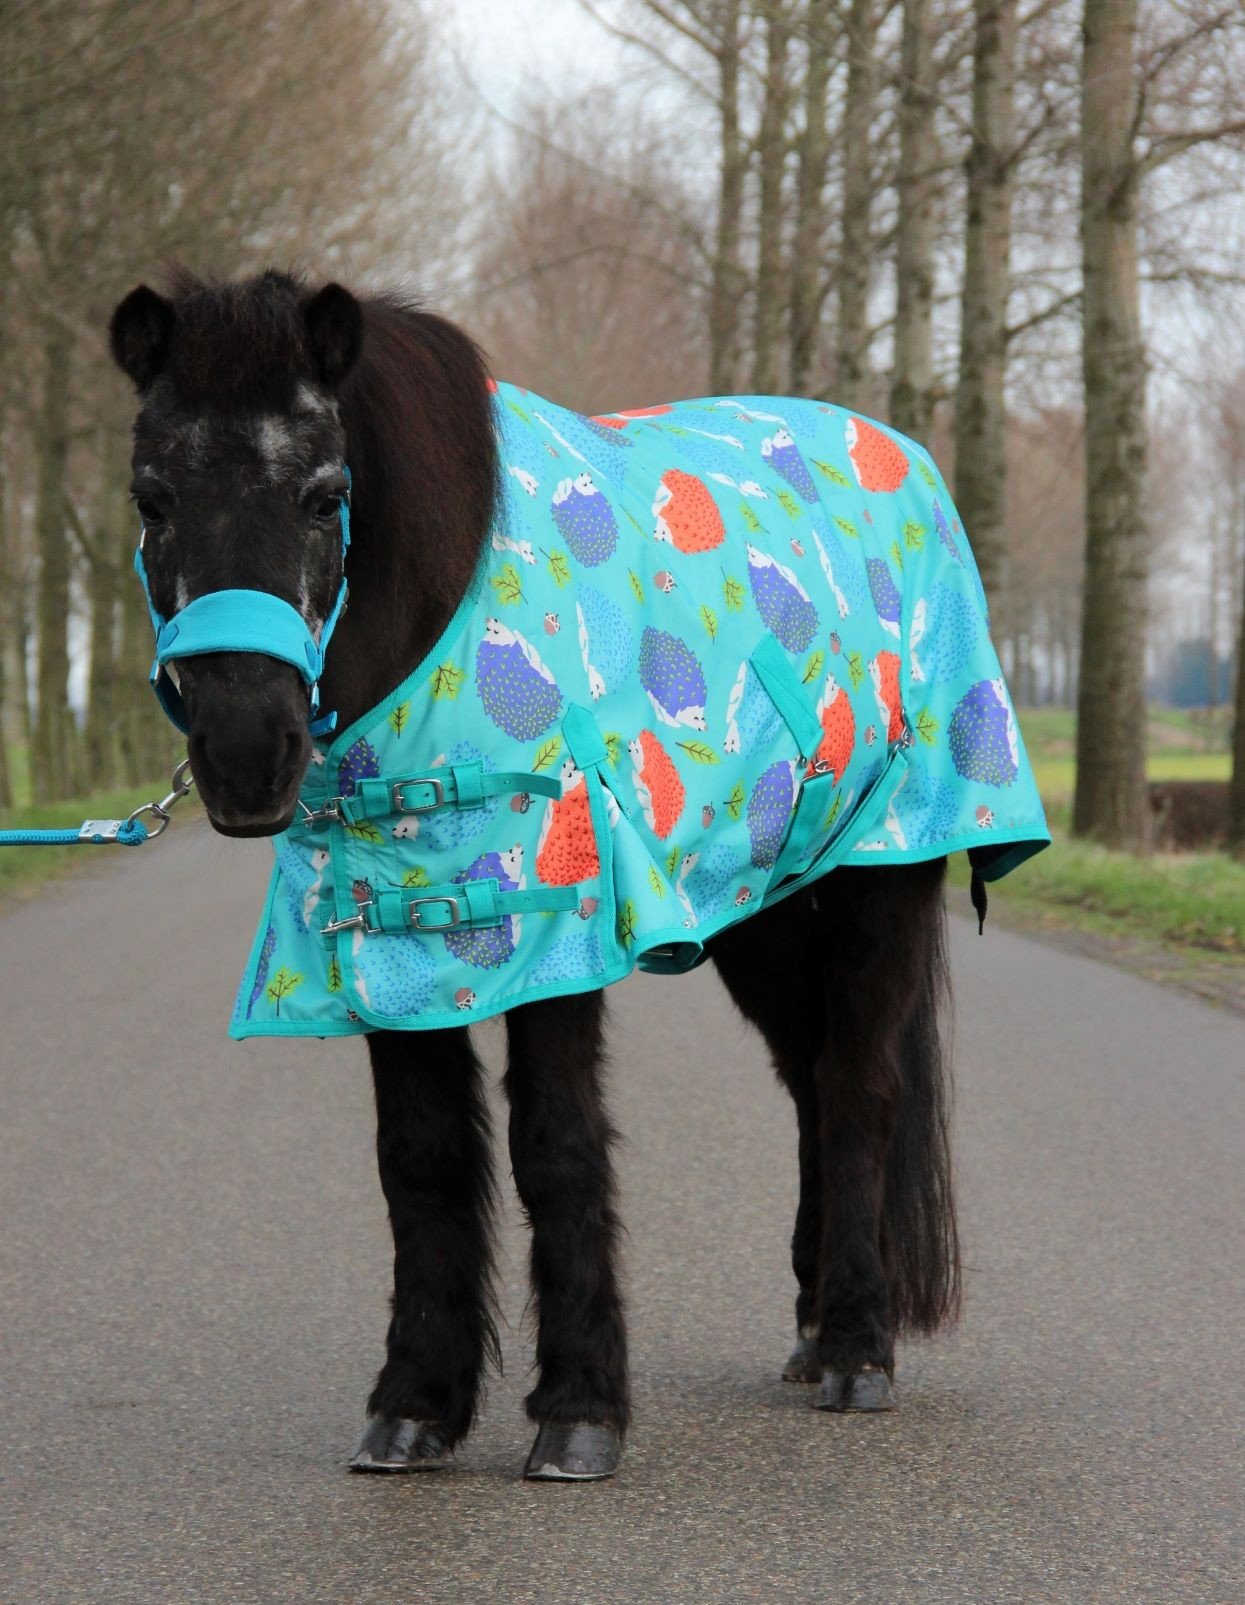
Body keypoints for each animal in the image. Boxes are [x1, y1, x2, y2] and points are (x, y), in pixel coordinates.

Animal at [108, 269, 962, 1481]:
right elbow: (420, 1159)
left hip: (881, 884)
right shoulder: (395, 948)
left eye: (326, 496)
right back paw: (810, 1328)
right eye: (151, 498)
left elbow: (554, 1145)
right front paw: (416, 1404)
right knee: (811, 1080)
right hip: (765, 910)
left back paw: (855, 1348)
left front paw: (581, 1410)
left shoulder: (562, 943)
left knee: (860, 1089)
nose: (243, 754)